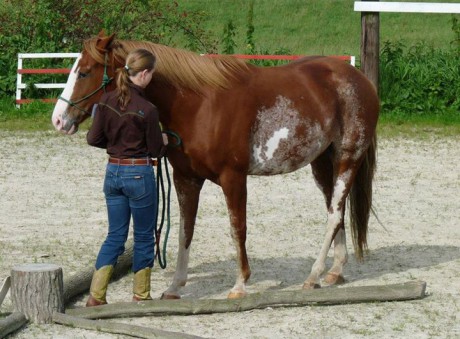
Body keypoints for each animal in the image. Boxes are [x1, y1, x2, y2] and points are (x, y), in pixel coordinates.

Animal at [52, 30, 380, 298]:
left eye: (85, 72)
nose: (58, 119)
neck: (199, 106)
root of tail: (360, 79)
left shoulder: (233, 178)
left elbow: (238, 228)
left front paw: (240, 283)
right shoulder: (185, 179)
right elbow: (185, 230)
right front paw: (175, 287)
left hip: (348, 158)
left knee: (334, 214)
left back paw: (313, 276)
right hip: (322, 163)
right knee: (335, 210)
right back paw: (334, 271)